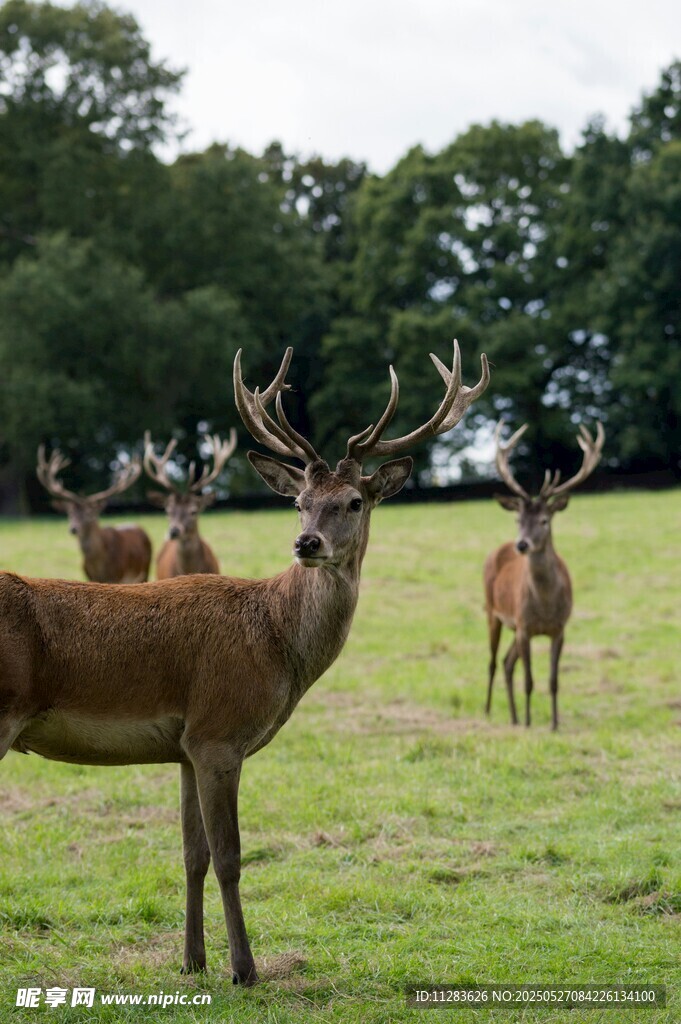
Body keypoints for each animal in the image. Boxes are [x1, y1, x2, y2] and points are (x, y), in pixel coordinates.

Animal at [36, 446, 152, 584]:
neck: (99, 567)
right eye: (70, 513)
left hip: (145, 569)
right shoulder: (89, 576)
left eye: (89, 514)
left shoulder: (117, 577)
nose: (73, 529)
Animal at [484, 420, 605, 730]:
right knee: (493, 662)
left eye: (544, 520)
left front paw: (554, 724)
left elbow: (553, 681)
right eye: (518, 519)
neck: (546, 605)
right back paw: (489, 711)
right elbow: (529, 680)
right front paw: (529, 724)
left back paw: (513, 717)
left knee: (507, 662)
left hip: (513, 627)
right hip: (492, 611)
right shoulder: (525, 626)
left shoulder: (559, 628)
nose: (522, 544)